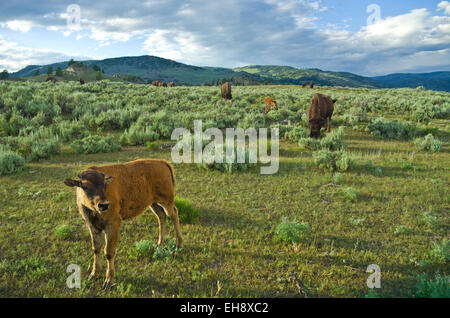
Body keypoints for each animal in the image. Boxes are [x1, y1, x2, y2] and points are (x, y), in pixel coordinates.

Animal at [63, 159, 183, 288]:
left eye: (105, 185)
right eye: (85, 186)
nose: (104, 205)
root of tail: (163, 162)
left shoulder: (112, 226)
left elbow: (108, 252)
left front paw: (109, 281)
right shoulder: (92, 227)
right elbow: (96, 249)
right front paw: (93, 274)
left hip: (166, 200)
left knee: (173, 214)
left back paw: (178, 246)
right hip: (153, 203)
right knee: (161, 216)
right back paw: (159, 244)